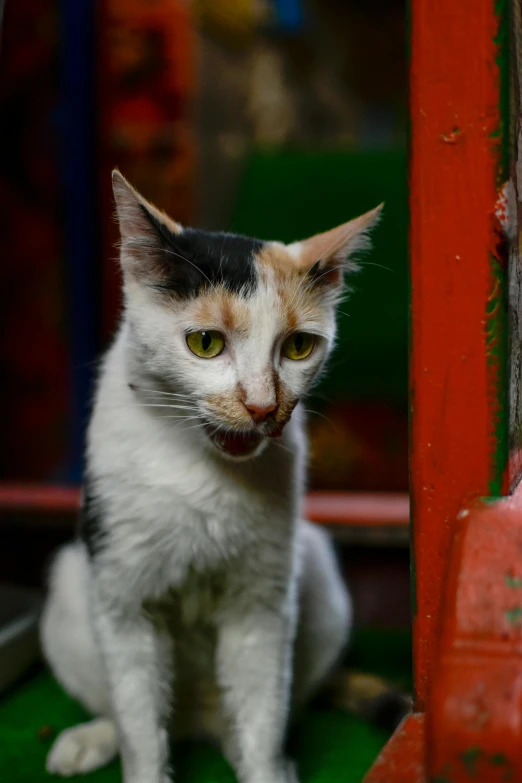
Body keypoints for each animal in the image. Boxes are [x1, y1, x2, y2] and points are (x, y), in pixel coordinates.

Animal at [41, 173, 398, 783]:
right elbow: (140, 727)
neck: (201, 468)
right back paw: (90, 739)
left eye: (299, 346)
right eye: (205, 343)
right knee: (130, 710)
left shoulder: (262, 604)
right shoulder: (123, 598)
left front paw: (265, 768)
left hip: (316, 570)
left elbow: (262, 714)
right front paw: (139, 761)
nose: (262, 406)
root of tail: (196, 724)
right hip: (70, 586)